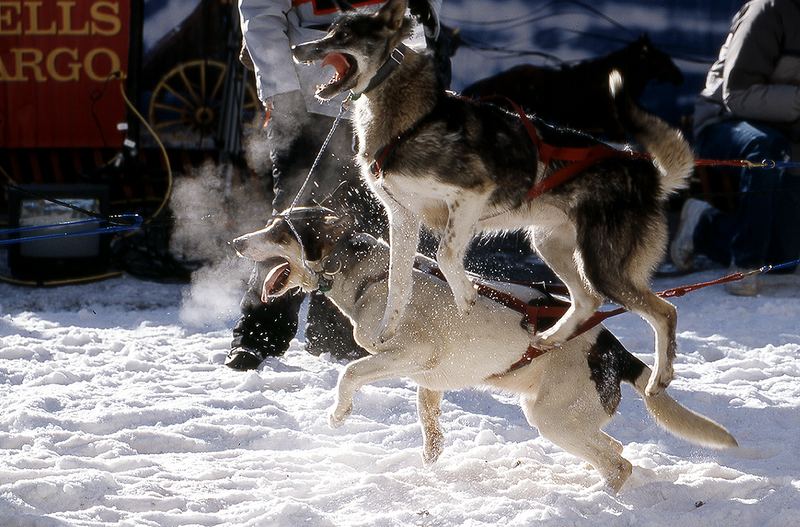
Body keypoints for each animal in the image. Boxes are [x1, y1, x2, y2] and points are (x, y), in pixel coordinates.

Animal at [230, 207, 736, 496]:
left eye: (280, 230)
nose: (236, 241)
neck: (374, 277)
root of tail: (615, 351)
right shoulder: (429, 380)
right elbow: (428, 422)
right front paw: (430, 460)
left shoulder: (410, 355)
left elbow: (349, 374)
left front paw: (338, 414)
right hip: (565, 420)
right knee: (614, 449)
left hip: (552, 420)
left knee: (620, 462)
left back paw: (598, 499)